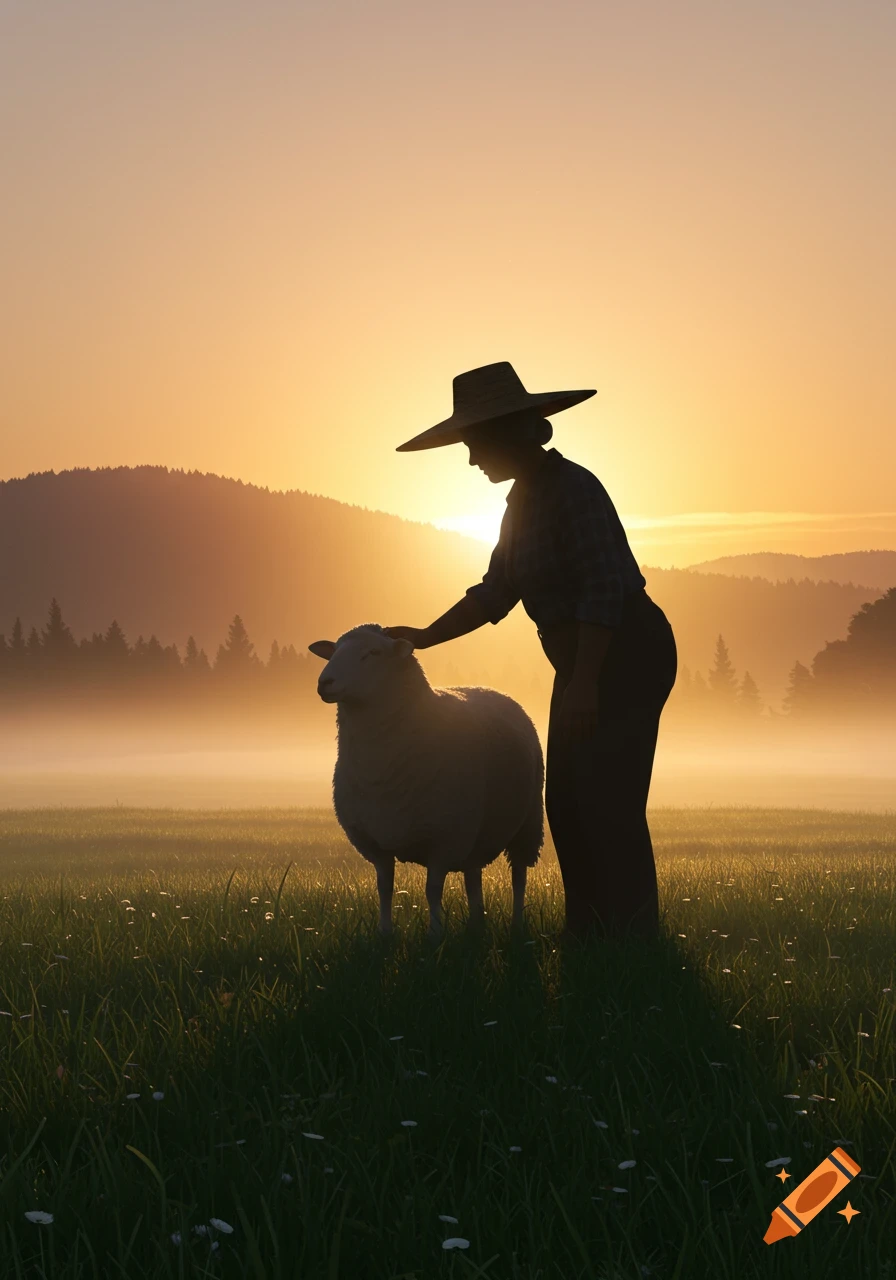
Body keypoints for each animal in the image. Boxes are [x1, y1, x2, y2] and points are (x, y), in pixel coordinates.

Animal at [308, 623, 544, 942]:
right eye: (333, 651)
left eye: (373, 653)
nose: (325, 682)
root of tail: (494, 690)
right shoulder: (375, 841)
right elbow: (384, 889)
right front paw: (384, 933)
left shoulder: (444, 839)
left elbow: (432, 891)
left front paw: (435, 935)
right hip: (476, 832)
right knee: (473, 876)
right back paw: (476, 926)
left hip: (527, 822)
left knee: (519, 875)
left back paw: (517, 925)